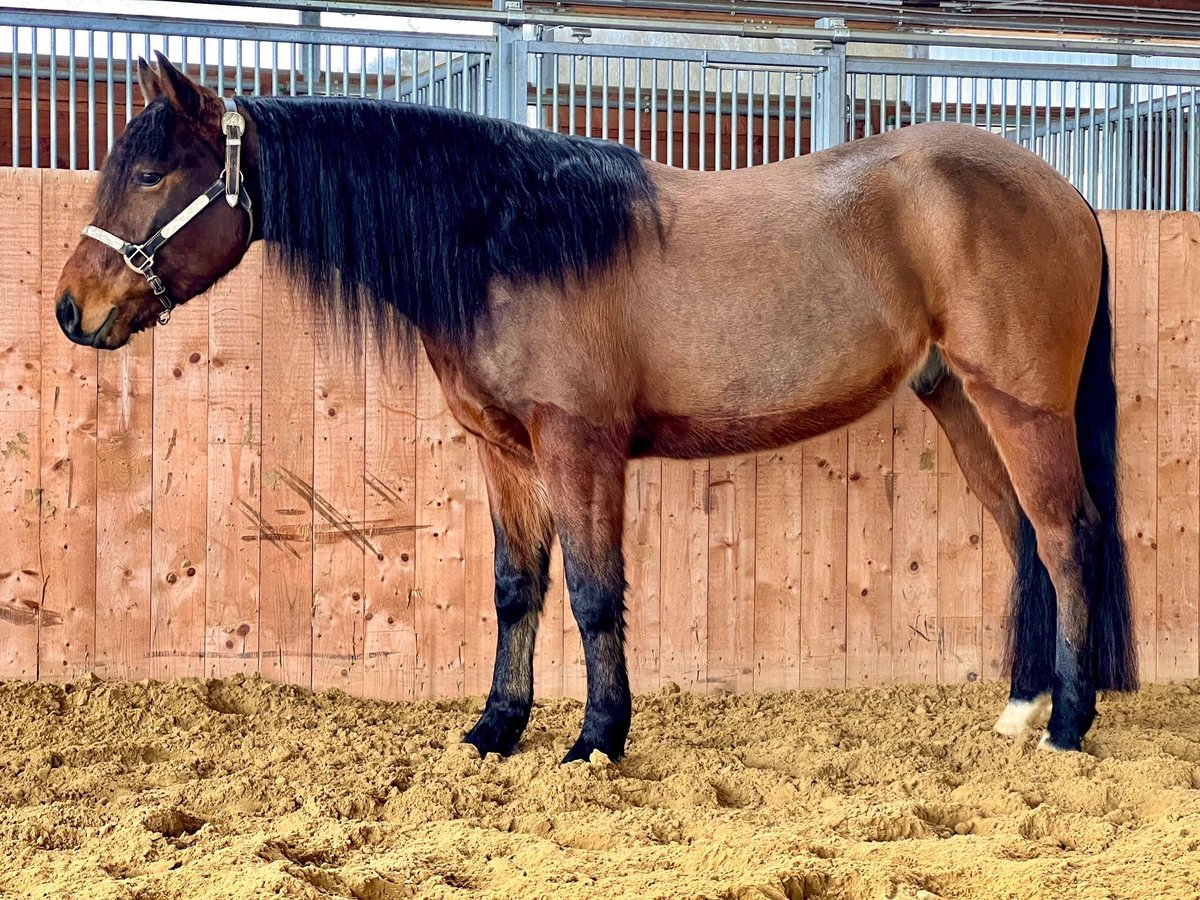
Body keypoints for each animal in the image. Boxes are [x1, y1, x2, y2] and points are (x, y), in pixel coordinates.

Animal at [56, 54, 1137, 763]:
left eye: (151, 171)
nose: (73, 309)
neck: (507, 238)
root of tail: (1067, 196)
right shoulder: (504, 451)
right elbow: (516, 588)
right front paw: (496, 728)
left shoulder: (579, 445)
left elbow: (590, 589)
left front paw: (596, 739)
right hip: (961, 403)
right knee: (1022, 537)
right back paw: (1021, 711)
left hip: (1022, 407)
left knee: (1066, 535)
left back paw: (1068, 726)